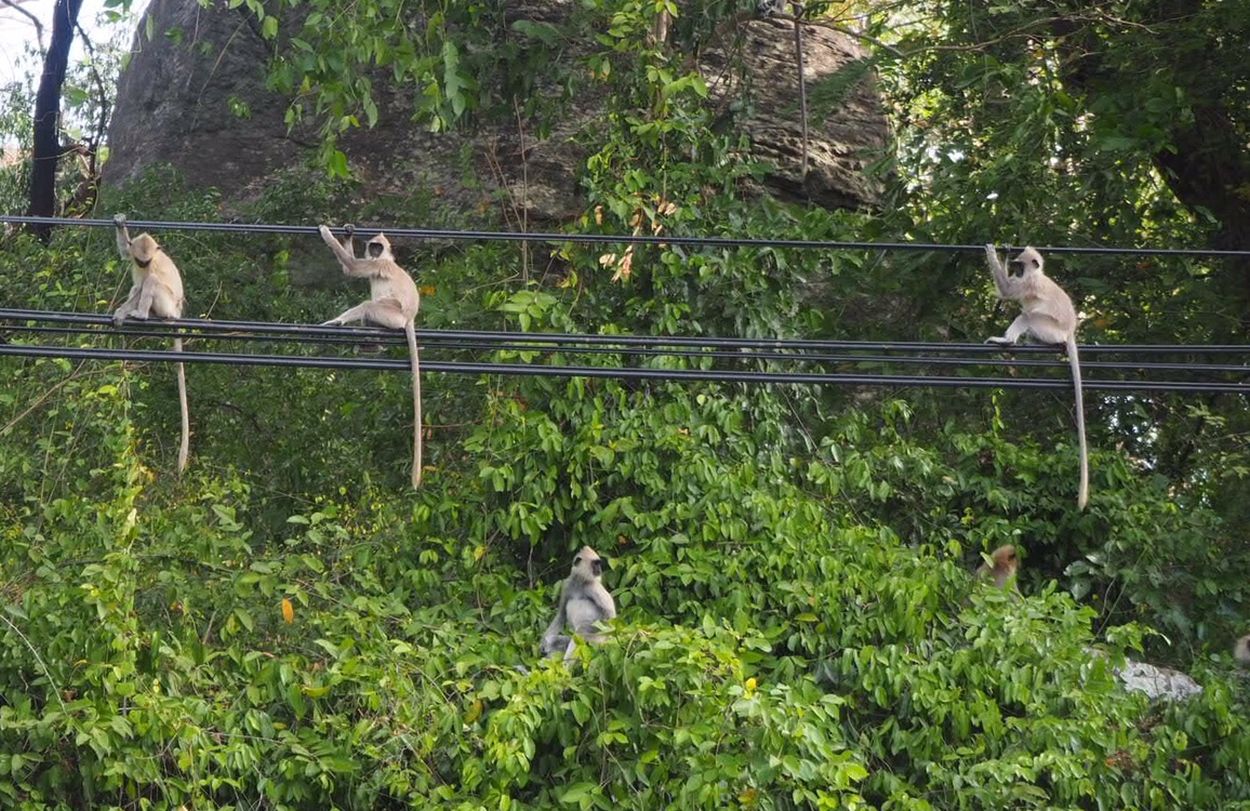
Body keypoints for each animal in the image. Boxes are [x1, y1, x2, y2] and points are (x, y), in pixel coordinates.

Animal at [113, 213, 190, 474]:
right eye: (140, 260)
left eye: (146, 261)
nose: (143, 266)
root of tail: (177, 313)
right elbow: (125, 253)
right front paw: (120, 223)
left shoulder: (153, 266)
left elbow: (146, 283)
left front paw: (124, 313)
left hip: (166, 304)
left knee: (151, 283)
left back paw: (142, 314)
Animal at [317, 222, 425, 487]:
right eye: (373, 246)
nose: (374, 252)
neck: (385, 259)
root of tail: (410, 318)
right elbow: (350, 267)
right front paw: (348, 233)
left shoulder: (380, 266)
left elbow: (353, 268)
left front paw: (326, 233)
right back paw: (371, 347)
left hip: (392, 315)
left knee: (368, 306)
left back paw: (338, 323)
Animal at [980, 243, 1090, 509]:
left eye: (1021, 268)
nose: (1016, 271)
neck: (1036, 275)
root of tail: (1069, 332)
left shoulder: (1029, 284)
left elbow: (1007, 292)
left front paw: (992, 252)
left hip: (1049, 329)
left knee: (1027, 316)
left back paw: (1007, 341)